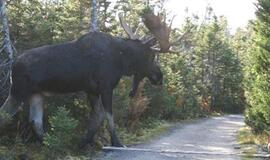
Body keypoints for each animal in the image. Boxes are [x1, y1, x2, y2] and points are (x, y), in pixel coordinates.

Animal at [0, 12, 173, 148]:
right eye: (151, 56)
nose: (160, 77)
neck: (121, 60)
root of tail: (12, 65)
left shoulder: (91, 90)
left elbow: (99, 116)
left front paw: (83, 143)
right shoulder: (105, 86)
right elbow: (109, 115)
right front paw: (116, 142)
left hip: (36, 94)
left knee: (35, 121)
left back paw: (51, 145)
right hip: (18, 90)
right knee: (6, 114)